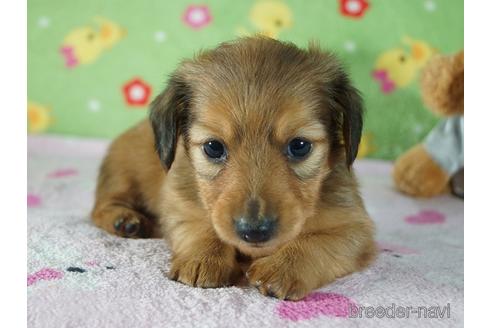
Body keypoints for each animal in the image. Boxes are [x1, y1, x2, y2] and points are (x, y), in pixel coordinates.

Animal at [91, 36, 376, 300]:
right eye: (213, 147)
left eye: (300, 146)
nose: (254, 231)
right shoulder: (180, 206)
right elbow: (202, 225)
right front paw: (204, 258)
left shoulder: (355, 228)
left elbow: (316, 243)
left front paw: (282, 268)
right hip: (122, 173)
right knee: (101, 207)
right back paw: (125, 220)